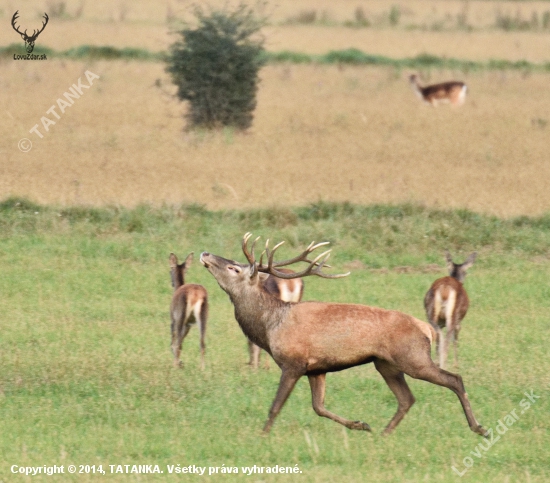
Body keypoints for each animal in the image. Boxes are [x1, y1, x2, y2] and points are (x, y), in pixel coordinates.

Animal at [201, 234, 490, 438]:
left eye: (235, 269)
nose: (204, 252)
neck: (270, 327)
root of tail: (425, 328)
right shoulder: (316, 368)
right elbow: (318, 407)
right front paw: (360, 424)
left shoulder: (293, 362)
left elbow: (276, 405)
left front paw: (262, 435)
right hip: (386, 363)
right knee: (407, 398)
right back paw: (383, 433)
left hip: (413, 357)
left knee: (454, 379)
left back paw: (479, 428)